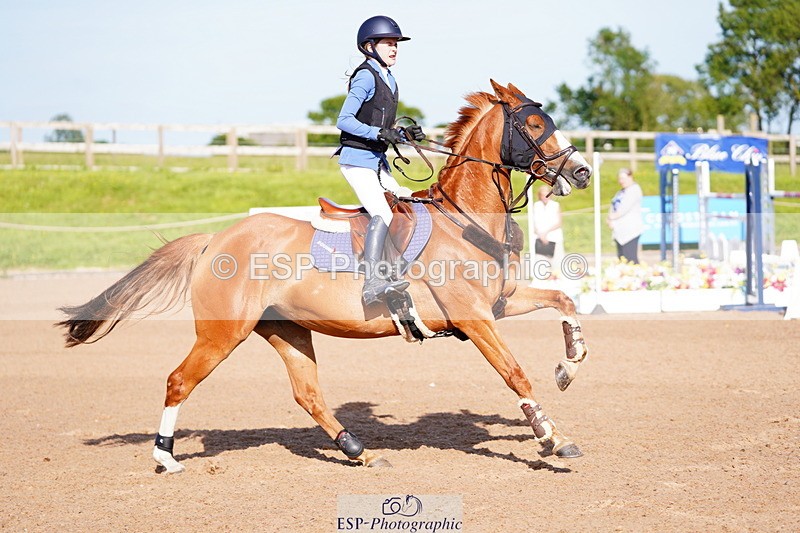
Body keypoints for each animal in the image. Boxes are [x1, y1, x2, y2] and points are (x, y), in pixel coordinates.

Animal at [57, 80, 592, 473]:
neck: (462, 219)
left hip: (287, 330)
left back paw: (360, 450)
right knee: (178, 380)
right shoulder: (475, 317)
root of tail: (215, 239)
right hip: (222, 333)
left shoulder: (500, 302)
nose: (583, 172)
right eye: (536, 124)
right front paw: (553, 438)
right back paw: (165, 457)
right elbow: (515, 373)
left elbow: (564, 300)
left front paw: (569, 366)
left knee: (307, 393)